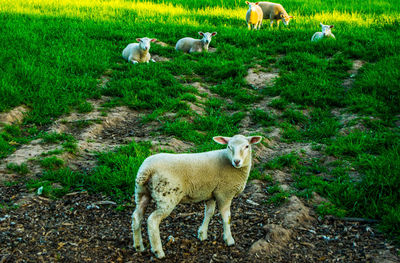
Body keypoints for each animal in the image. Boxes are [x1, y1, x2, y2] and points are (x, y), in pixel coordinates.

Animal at [131, 135, 262, 258]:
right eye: (229, 146)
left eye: (247, 146)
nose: (237, 161)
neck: (228, 161)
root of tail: (147, 169)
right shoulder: (224, 193)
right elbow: (227, 218)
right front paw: (229, 240)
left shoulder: (211, 193)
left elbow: (209, 213)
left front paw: (202, 234)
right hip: (167, 196)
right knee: (152, 221)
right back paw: (158, 251)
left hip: (142, 192)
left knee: (136, 216)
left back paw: (139, 246)